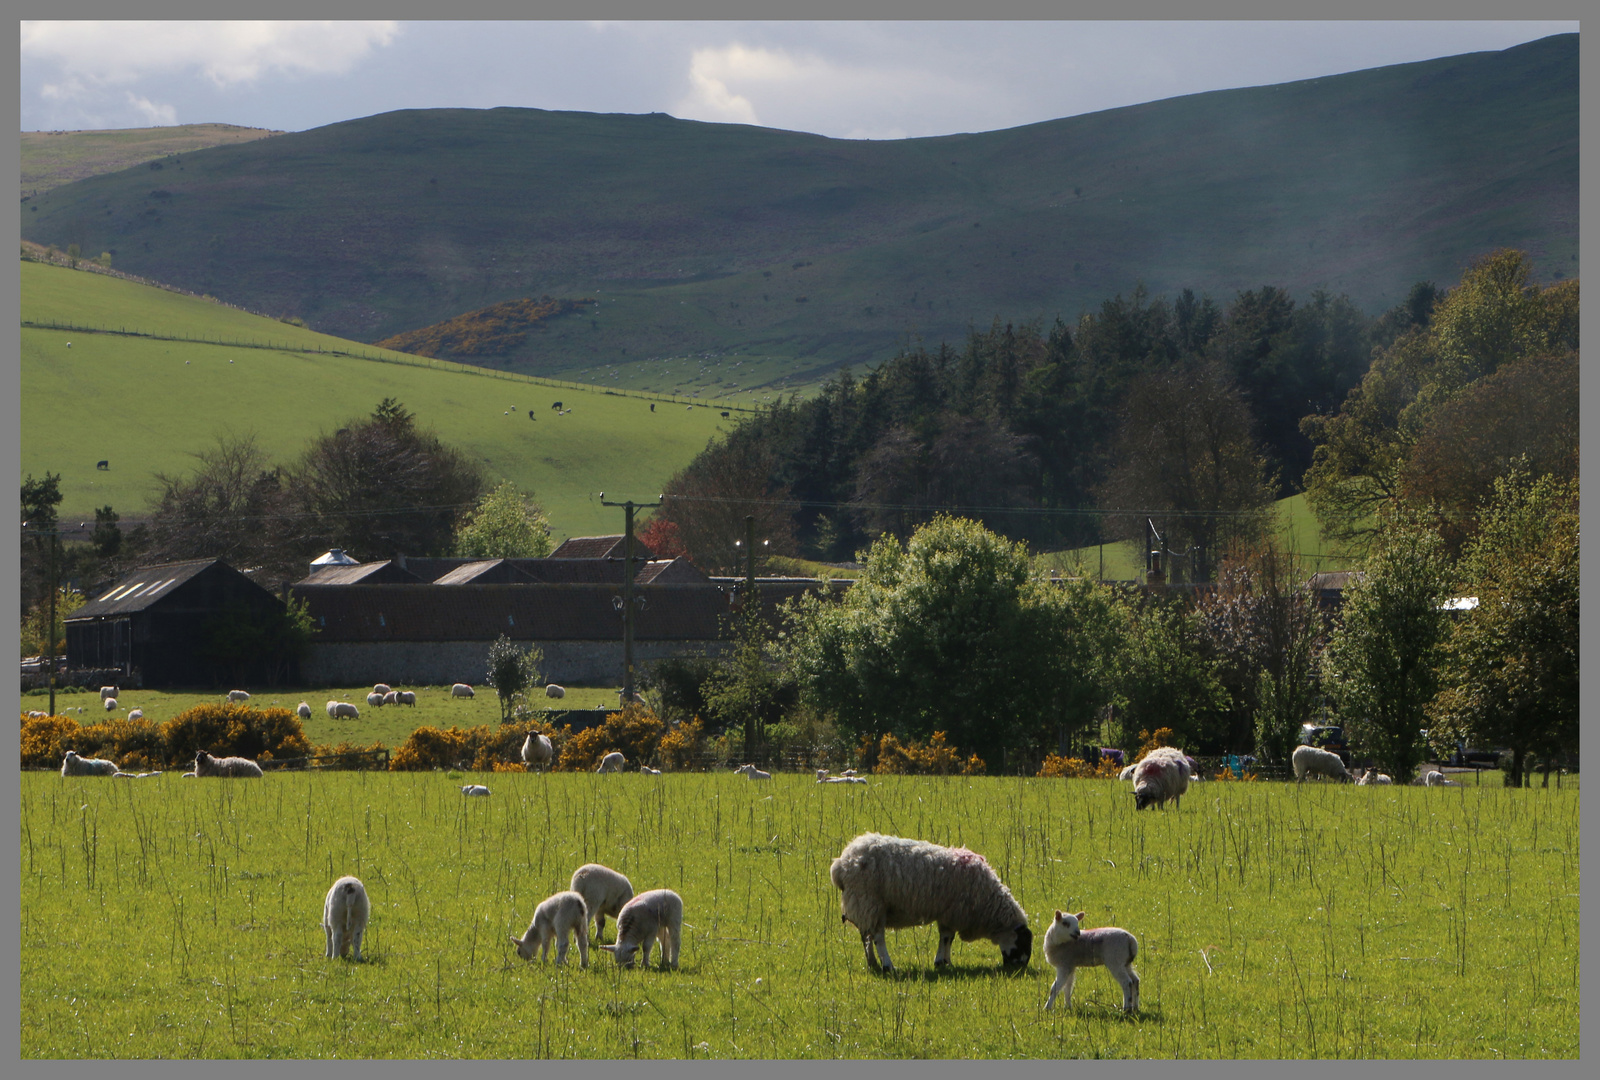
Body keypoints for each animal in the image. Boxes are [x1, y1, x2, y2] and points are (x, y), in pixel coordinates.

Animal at [832, 832, 1030, 972]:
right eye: (1022, 943)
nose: (1017, 968)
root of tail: (841, 864)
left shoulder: (947, 913)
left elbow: (948, 938)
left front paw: (946, 962)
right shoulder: (953, 912)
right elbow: (946, 937)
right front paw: (941, 961)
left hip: (864, 904)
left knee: (867, 935)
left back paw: (872, 962)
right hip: (870, 901)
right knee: (878, 937)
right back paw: (888, 966)